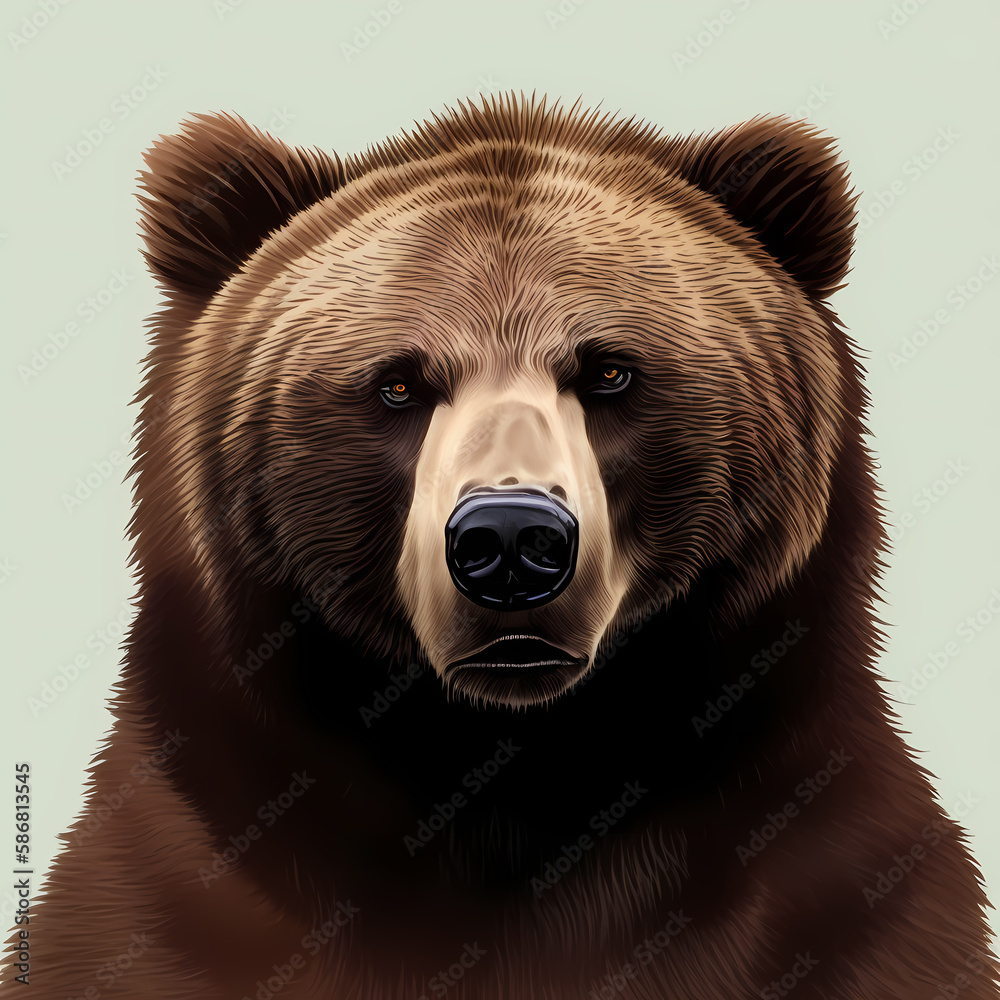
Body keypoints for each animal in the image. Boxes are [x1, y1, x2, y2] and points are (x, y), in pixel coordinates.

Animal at [3, 93, 997, 999]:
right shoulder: (181, 893)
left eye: (610, 371)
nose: (512, 542)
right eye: (399, 383)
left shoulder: (834, 892)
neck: (511, 780)